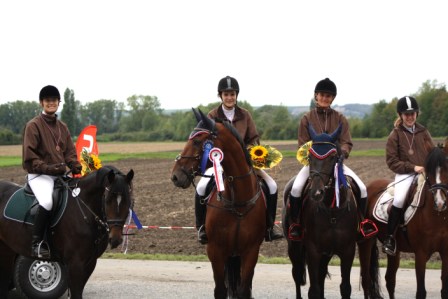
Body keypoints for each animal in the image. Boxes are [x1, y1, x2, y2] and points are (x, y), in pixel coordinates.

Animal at [0, 166, 134, 299]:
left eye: (128, 200)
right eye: (107, 200)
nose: (116, 239)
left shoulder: (90, 262)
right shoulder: (75, 263)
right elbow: (76, 293)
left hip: (7, 249)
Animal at [170, 109, 264, 299]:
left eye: (196, 141)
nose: (175, 176)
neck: (237, 200)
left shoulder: (251, 251)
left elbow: (244, 290)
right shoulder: (216, 250)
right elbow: (220, 290)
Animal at [284, 125, 360, 298]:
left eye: (332, 158)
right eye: (309, 157)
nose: (316, 192)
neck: (332, 210)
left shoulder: (348, 251)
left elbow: (345, 287)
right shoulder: (313, 251)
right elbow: (314, 290)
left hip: (327, 254)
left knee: (321, 273)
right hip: (294, 247)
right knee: (297, 274)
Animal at [358, 143, 448, 299]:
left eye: (446, 168)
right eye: (429, 172)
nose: (440, 202)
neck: (437, 216)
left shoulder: (446, 253)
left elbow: (444, 290)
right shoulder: (420, 254)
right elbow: (421, 291)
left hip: (395, 250)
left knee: (390, 279)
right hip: (366, 242)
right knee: (366, 280)